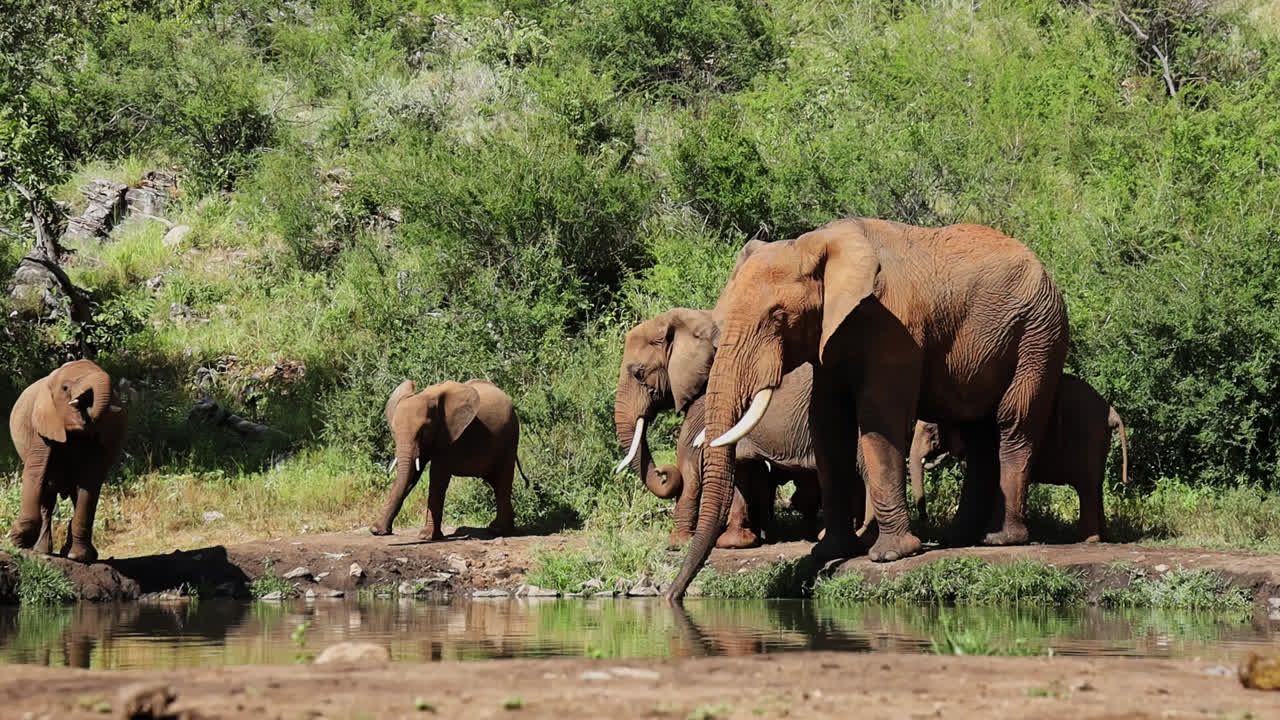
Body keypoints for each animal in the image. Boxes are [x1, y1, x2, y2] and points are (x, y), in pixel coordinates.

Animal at [8, 359, 126, 564]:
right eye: (65, 388)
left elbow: (89, 483)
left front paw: (78, 557)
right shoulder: (42, 423)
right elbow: (35, 472)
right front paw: (17, 540)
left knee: (76, 495)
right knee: (47, 495)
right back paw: (41, 550)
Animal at [371, 378, 526, 540]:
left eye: (423, 431)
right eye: (394, 432)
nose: (375, 530)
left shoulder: (449, 436)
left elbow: (437, 476)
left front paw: (427, 537)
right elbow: (412, 475)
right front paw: (377, 531)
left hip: (510, 440)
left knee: (502, 482)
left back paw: (498, 530)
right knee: (495, 482)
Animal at [613, 308, 821, 549]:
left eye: (638, 373)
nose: (661, 472)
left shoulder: (709, 389)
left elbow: (689, 456)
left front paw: (679, 543)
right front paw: (753, 538)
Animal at [666, 218, 1068, 601]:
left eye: (778, 316)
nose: (672, 595)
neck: (817, 244)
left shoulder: (895, 324)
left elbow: (880, 418)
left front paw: (890, 555)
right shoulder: (828, 335)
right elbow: (827, 422)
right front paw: (828, 552)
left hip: (1038, 334)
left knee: (1013, 426)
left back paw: (1002, 538)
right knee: (977, 432)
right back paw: (960, 538)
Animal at [909, 373, 1128, 542]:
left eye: (930, 430)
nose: (924, 517)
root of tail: (1113, 413)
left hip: (1086, 434)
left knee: (1086, 487)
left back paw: (1087, 540)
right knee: (1096, 486)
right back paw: (1104, 538)